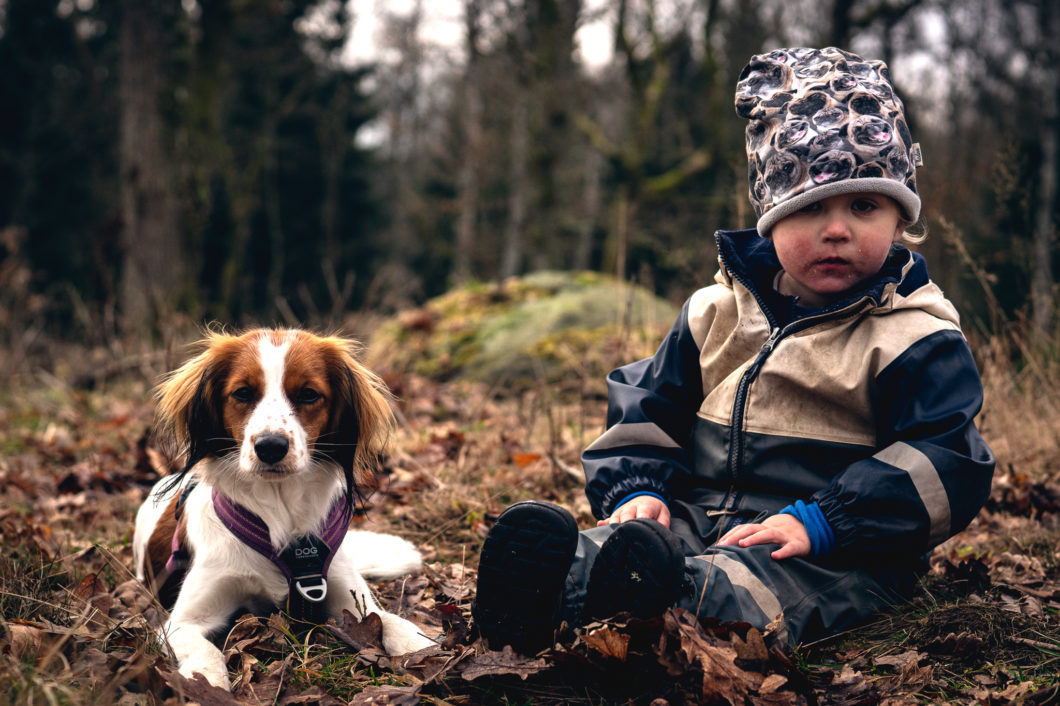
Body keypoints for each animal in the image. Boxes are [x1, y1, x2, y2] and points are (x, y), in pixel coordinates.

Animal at [133, 328, 434, 686]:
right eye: (243, 393)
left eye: (308, 394)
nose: (271, 446)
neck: (278, 508)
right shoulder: (182, 622)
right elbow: (205, 650)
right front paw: (207, 681)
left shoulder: (349, 597)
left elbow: (390, 620)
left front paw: (422, 648)